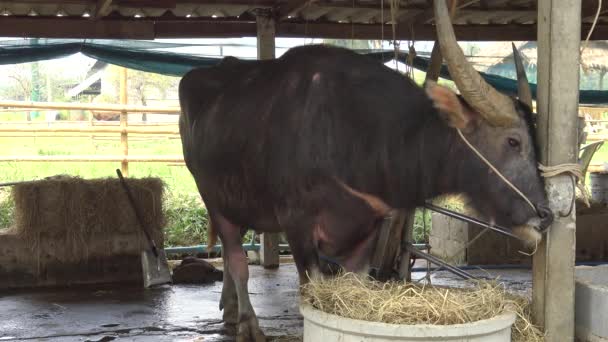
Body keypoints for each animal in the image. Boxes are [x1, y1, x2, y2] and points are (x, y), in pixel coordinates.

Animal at [178, 0, 552, 340]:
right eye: (513, 141)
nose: (544, 216)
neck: (361, 131)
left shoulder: (369, 228)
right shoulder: (297, 226)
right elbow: (308, 288)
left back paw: (229, 308)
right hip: (212, 197)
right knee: (237, 261)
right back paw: (247, 324)